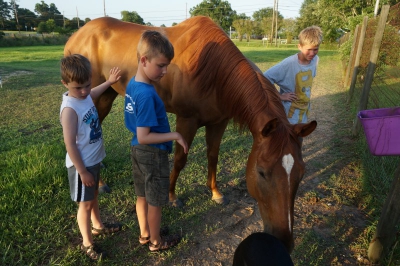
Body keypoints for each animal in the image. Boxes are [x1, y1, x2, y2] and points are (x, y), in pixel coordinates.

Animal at [64, 16, 318, 251]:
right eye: (262, 172)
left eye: (302, 172)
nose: (284, 241)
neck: (212, 70)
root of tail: (78, 35)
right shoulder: (187, 120)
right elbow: (179, 159)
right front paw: (172, 197)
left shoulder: (218, 122)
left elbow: (213, 155)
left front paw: (215, 192)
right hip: (94, 97)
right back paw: (99, 182)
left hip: (107, 93)